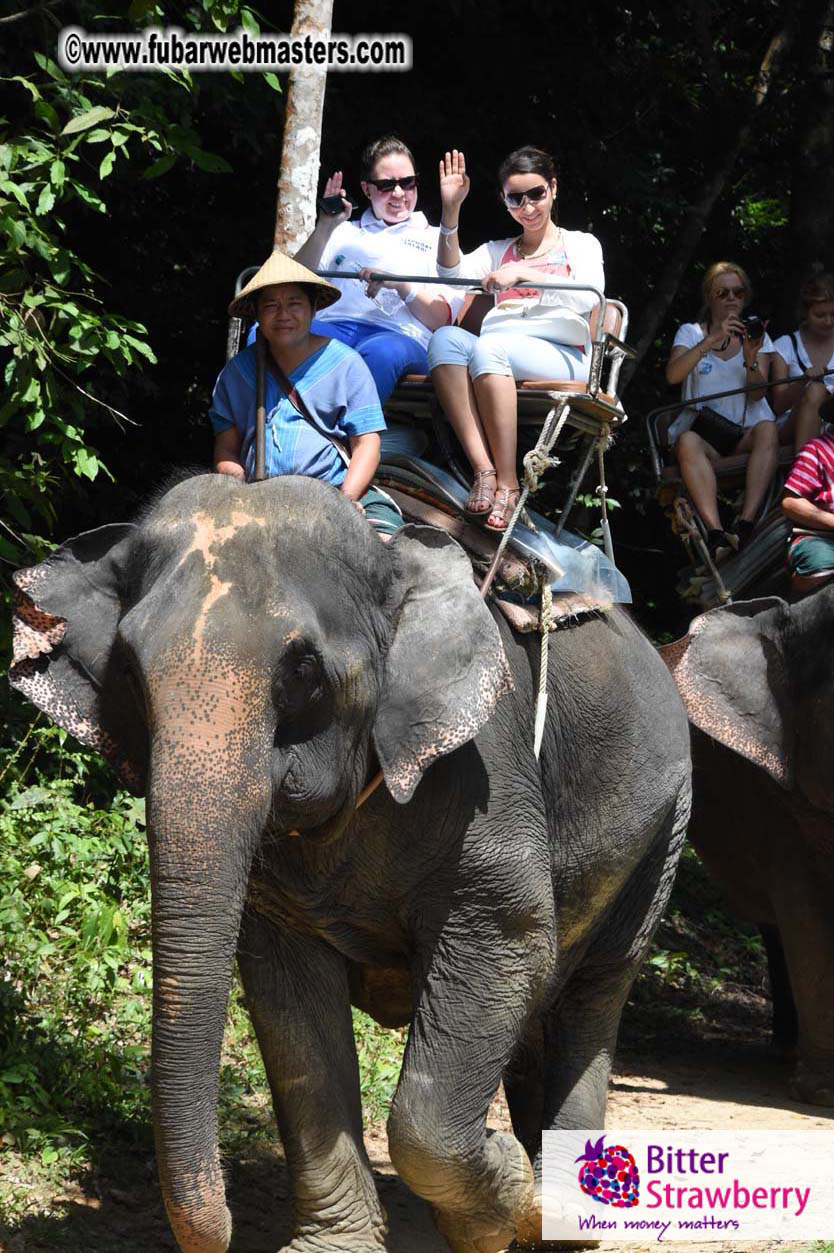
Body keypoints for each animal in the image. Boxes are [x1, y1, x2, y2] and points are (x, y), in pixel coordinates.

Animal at [10, 473, 691, 1253]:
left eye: (303, 670)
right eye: (127, 669)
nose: (223, 1229)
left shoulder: (489, 769)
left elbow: (511, 939)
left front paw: (500, 1205)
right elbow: (292, 1008)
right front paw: (339, 1244)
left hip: (666, 820)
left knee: (596, 991)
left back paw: (560, 1214)